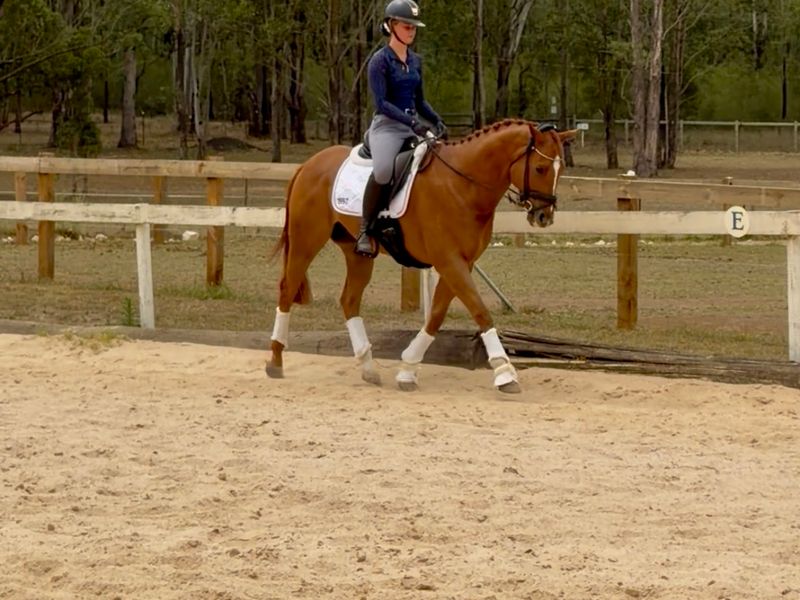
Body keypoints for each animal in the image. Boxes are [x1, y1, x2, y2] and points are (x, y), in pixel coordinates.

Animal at [266, 119, 576, 393]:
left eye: (560, 169)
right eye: (540, 168)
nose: (544, 217)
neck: (462, 184)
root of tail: (308, 164)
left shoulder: (462, 263)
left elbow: (436, 316)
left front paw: (407, 370)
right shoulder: (450, 261)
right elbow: (480, 312)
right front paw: (504, 372)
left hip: (356, 252)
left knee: (349, 300)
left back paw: (369, 368)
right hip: (306, 240)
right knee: (287, 289)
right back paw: (275, 361)